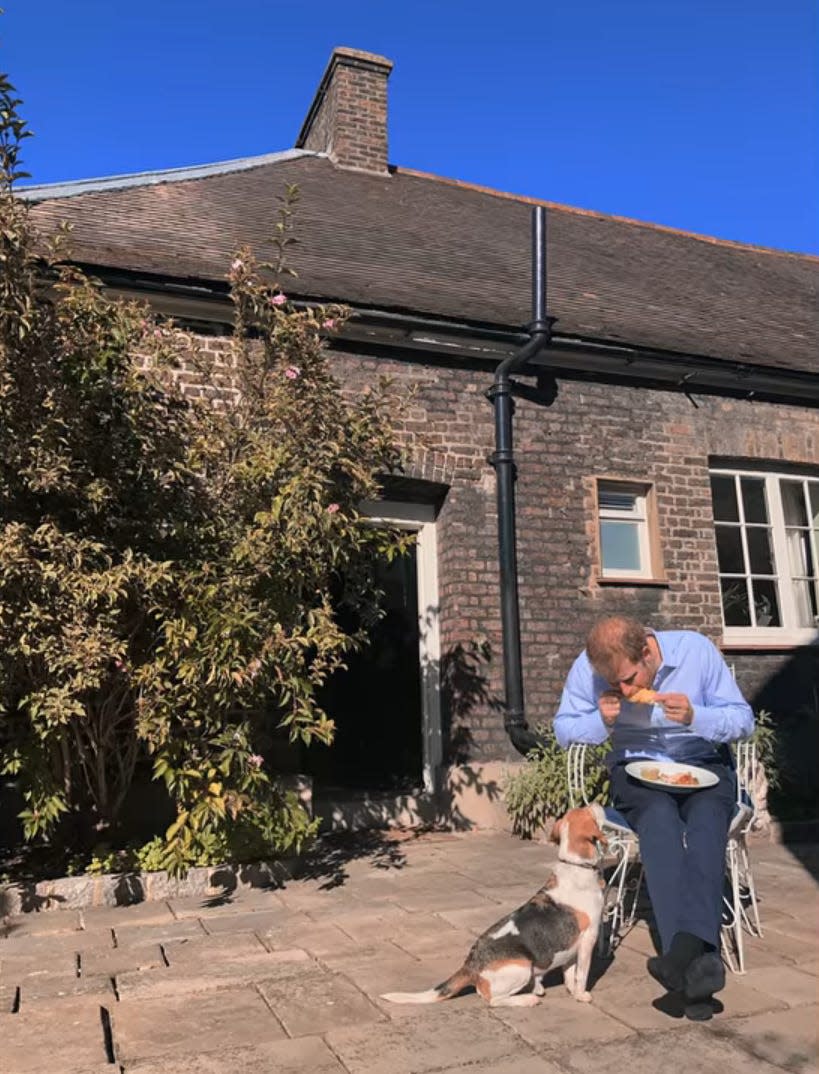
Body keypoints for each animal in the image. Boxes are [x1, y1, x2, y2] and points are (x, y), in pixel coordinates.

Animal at [382, 807, 605, 1005]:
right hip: (521, 967)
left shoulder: (573, 944)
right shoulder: (589, 938)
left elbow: (569, 971)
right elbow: (582, 973)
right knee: (493, 1000)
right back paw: (527, 999)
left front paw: (571, 991)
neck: (576, 866)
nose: (597, 804)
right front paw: (581, 995)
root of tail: (471, 964)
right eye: (589, 809)